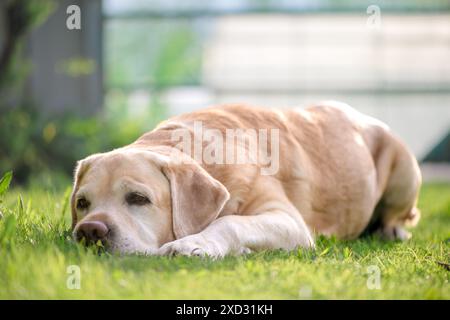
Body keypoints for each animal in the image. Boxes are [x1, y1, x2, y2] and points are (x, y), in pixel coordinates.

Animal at [71, 101, 422, 256]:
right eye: (82, 203)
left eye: (138, 199)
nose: (90, 230)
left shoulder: (288, 221)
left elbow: (231, 222)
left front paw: (194, 243)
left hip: (405, 168)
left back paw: (392, 230)